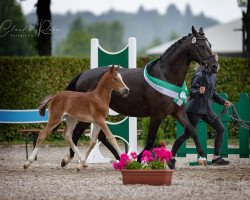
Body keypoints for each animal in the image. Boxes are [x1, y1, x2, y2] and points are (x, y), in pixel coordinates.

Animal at [61, 26, 218, 167]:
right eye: (201, 45)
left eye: (210, 45)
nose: (215, 66)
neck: (165, 76)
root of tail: (82, 74)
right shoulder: (157, 115)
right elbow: (150, 141)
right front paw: (140, 159)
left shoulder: (177, 112)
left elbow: (192, 130)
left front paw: (201, 157)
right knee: (76, 133)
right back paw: (69, 159)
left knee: (99, 136)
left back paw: (118, 158)